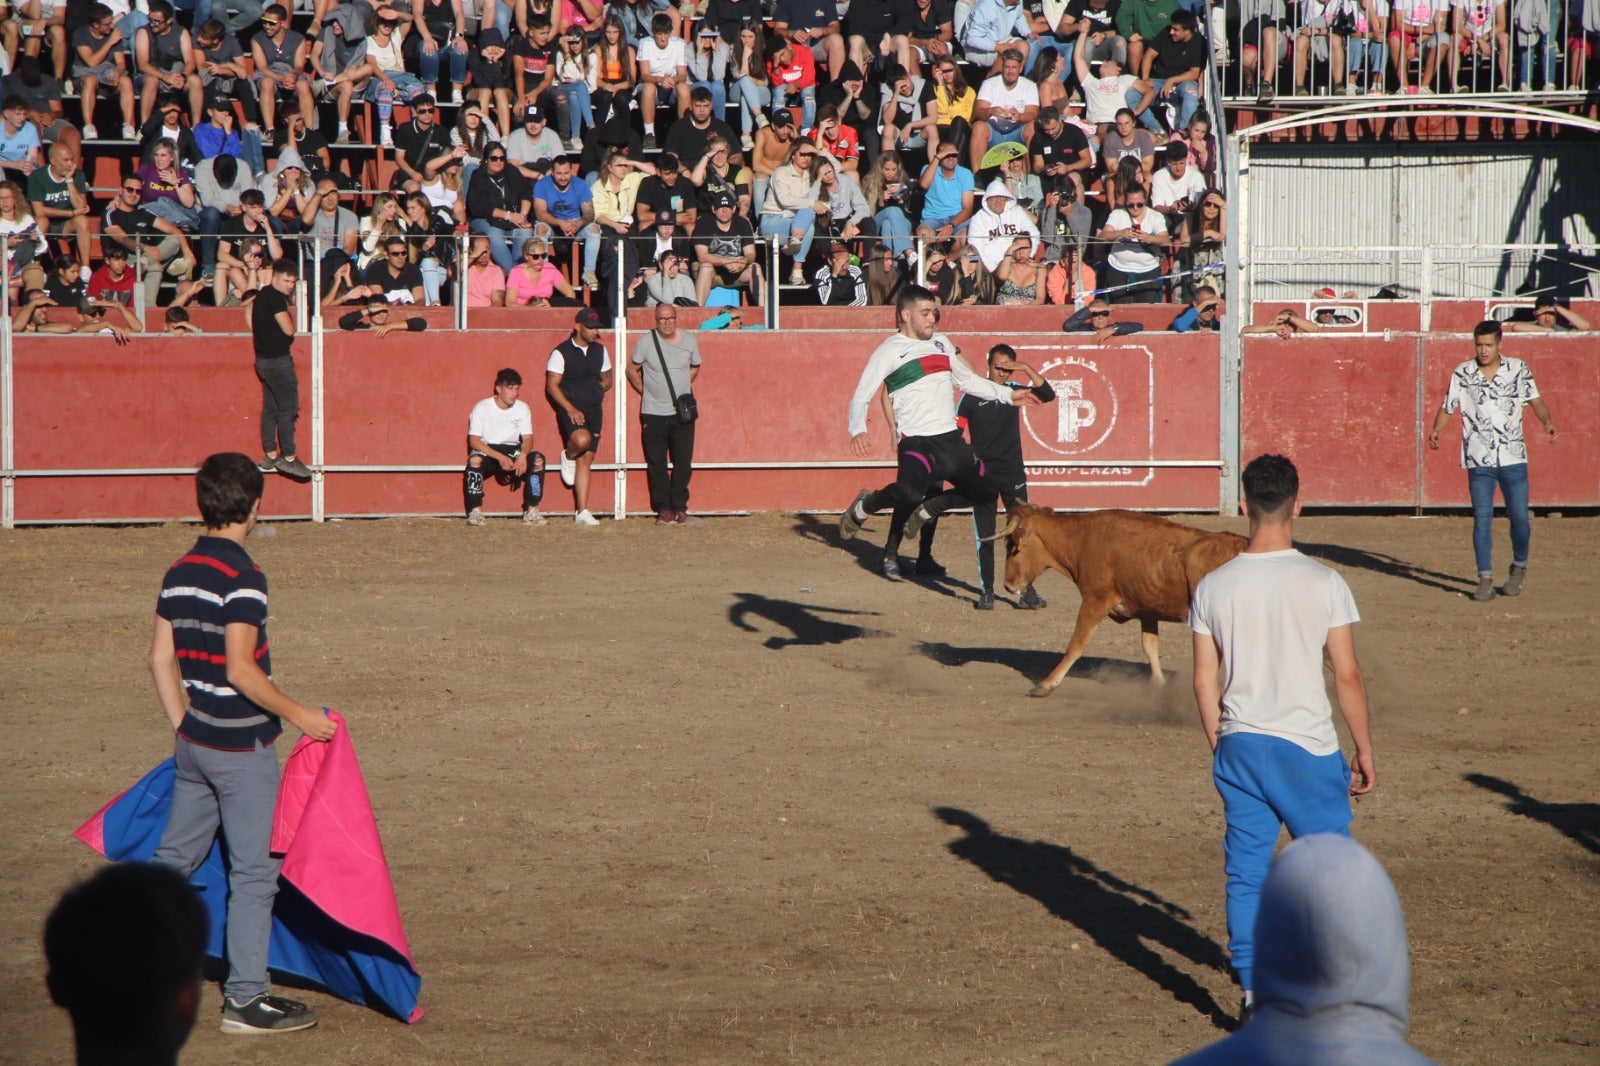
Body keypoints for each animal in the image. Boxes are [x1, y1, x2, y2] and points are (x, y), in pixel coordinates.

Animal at [998, 505, 1248, 697]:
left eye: (1012, 547)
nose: (1007, 585)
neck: (1083, 540)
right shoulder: (1147, 608)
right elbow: (1149, 646)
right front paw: (1159, 685)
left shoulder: (1095, 601)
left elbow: (1076, 645)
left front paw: (1046, 685)